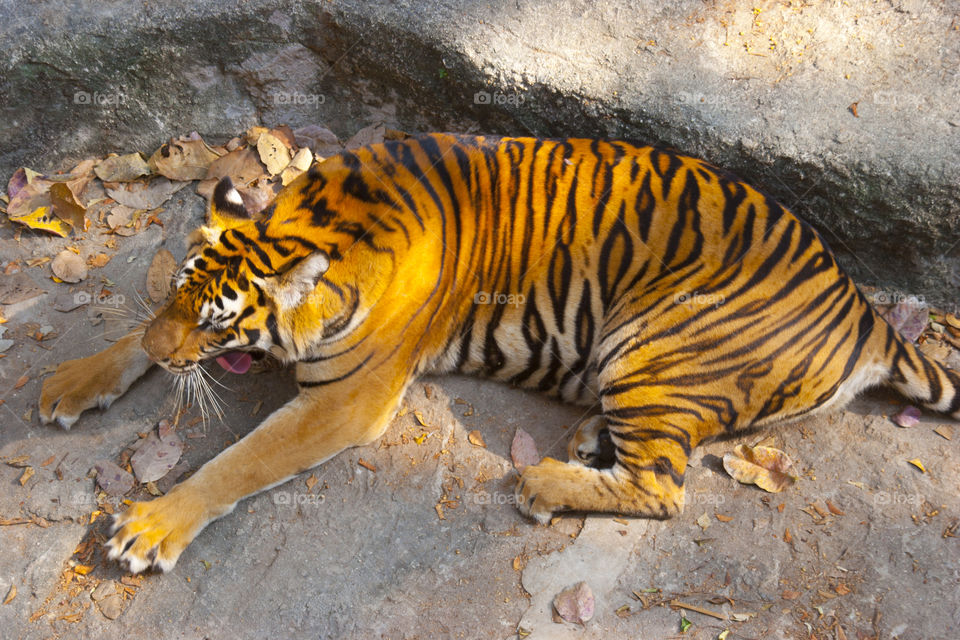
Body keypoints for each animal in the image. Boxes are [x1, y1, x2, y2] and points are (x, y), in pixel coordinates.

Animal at [37, 132, 960, 572]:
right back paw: (586, 441)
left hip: (654, 344)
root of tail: (865, 308)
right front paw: (73, 380)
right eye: (177, 299)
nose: (173, 344)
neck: (322, 221)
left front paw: (151, 525)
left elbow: (239, 461)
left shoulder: (343, 402)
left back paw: (546, 480)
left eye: (216, 325)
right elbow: (129, 341)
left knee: (666, 487)